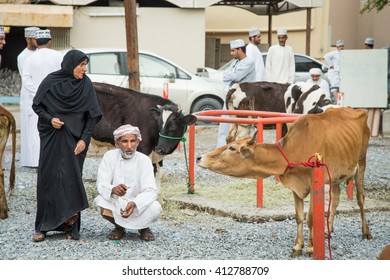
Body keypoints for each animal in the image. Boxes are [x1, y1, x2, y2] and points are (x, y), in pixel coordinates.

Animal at [198, 107, 372, 258]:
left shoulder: (314, 183)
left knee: (360, 198)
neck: (293, 152)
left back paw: (366, 232)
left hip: (361, 162)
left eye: (232, 148)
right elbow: (299, 217)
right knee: (335, 198)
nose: (199, 157)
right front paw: (297, 246)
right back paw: (327, 231)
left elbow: (310, 218)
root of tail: (357, 109)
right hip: (336, 176)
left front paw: (310, 248)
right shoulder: (296, 187)